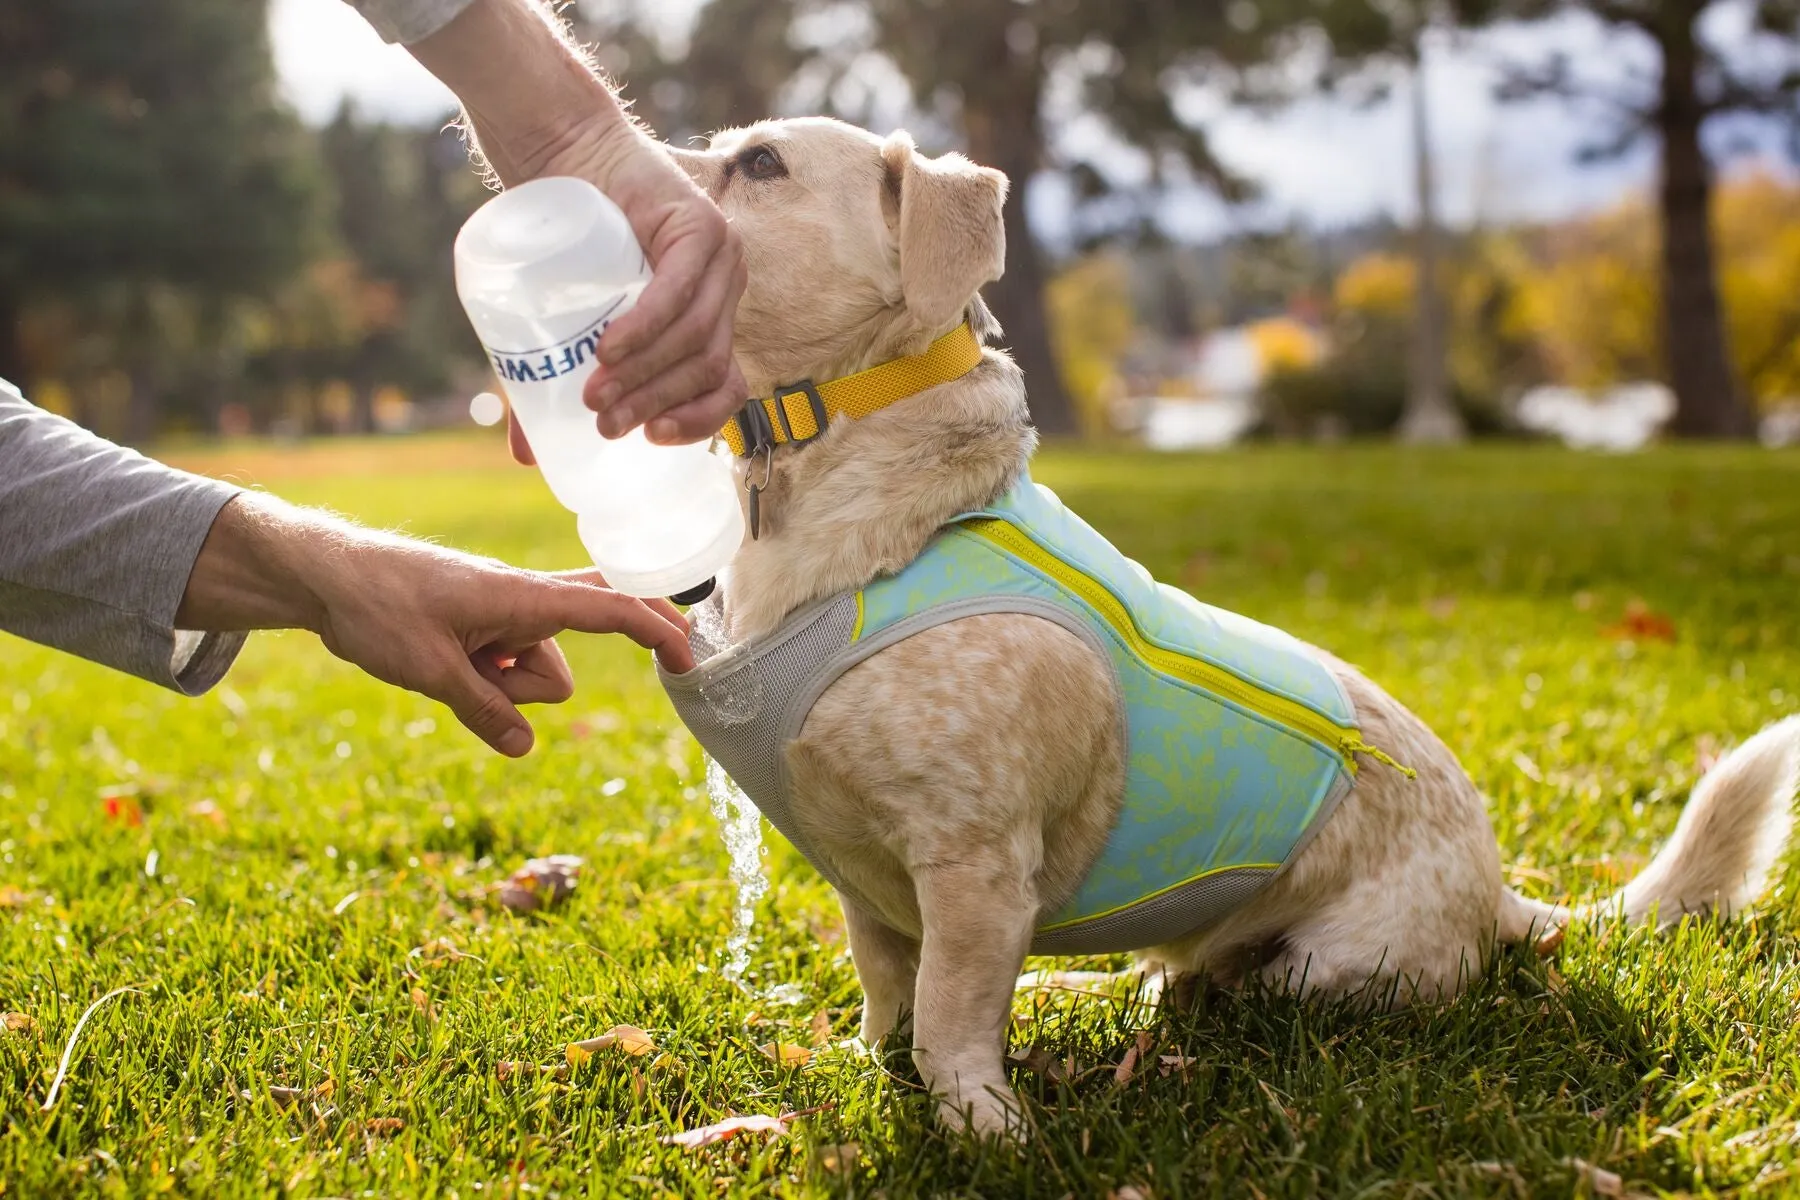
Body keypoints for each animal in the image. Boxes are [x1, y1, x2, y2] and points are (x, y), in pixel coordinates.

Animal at [655, 116, 1800, 1144]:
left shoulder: (974, 871)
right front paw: (871, 1070)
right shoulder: (871, 888)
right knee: (1166, 982)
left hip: (1326, 971)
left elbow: (949, 1019)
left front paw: (985, 1128)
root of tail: (1503, 896)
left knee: (1238, 998)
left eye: (762, 163)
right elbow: (891, 1000)